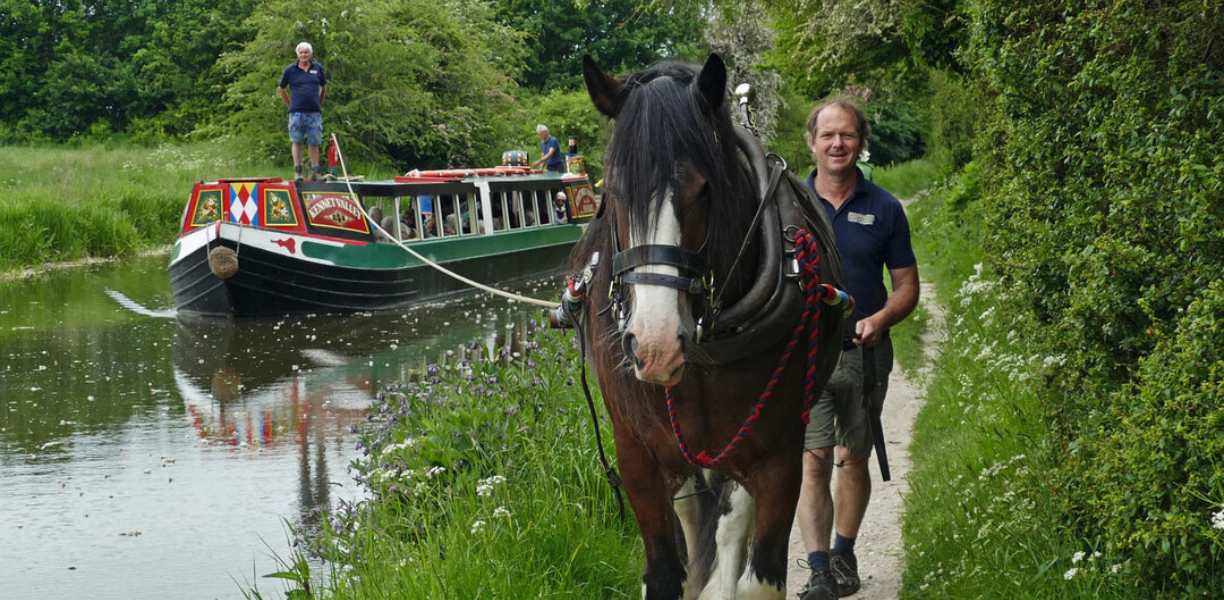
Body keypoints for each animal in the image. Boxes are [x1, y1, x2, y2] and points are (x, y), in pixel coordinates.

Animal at [567, 52, 847, 600]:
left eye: (704, 190)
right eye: (612, 192)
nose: (655, 347)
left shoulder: (777, 454)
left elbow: (756, 573)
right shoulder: (639, 457)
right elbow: (663, 573)